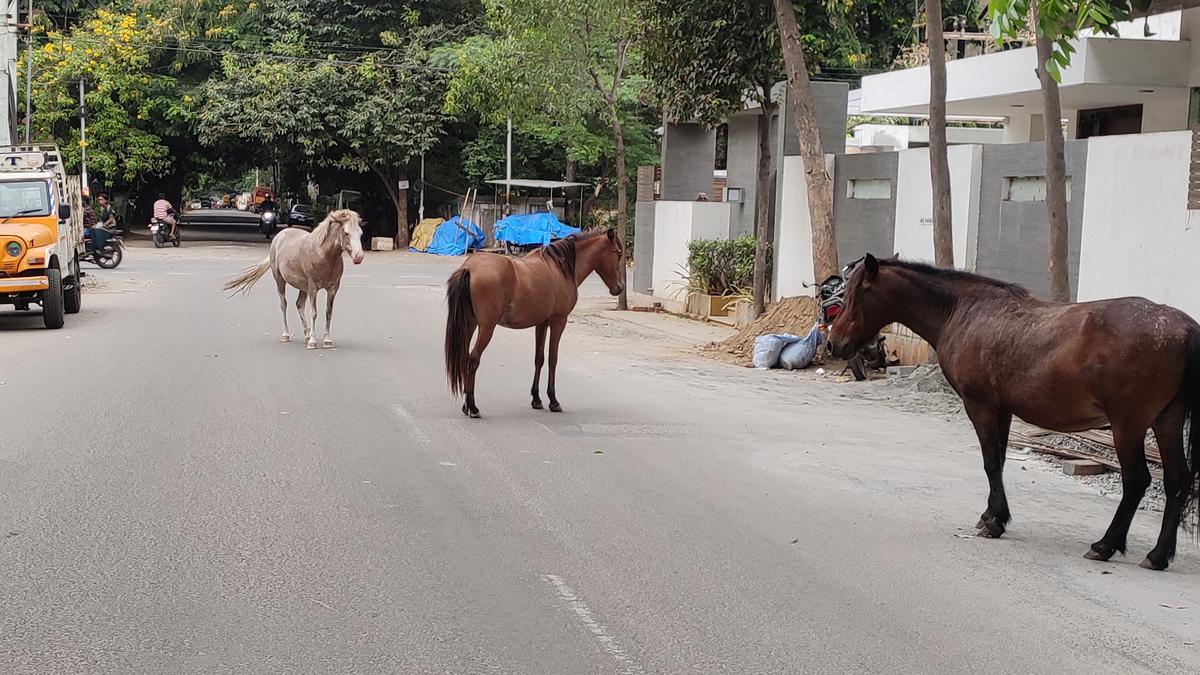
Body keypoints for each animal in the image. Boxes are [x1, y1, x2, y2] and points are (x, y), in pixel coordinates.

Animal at [225, 208, 362, 345]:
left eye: (360, 233)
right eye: (346, 233)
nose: (359, 256)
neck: (323, 254)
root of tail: (279, 236)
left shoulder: (333, 288)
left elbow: (328, 312)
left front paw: (327, 340)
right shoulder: (313, 287)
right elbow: (314, 312)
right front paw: (312, 341)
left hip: (303, 287)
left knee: (299, 305)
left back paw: (306, 335)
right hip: (280, 280)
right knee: (283, 304)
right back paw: (286, 334)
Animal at [444, 227, 628, 415]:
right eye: (618, 253)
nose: (620, 287)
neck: (561, 269)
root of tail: (470, 267)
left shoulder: (542, 323)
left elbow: (539, 358)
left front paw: (536, 399)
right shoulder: (558, 322)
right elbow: (553, 358)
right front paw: (553, 401)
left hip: (470, 324)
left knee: (465, 357)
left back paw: (466, 405)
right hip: (486, 327)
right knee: (473, 359)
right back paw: (472, 407)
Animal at [825, 254, 1200, 569]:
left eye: (855, 296)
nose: (833, 343)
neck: (962, 311)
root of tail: (1182, 326)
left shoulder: (980, 406)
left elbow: (991, 462)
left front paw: (993, 522)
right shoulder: (1002, 410)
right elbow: (1001, 461)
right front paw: (993, 515)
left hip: (1128, 426)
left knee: (1137, 480)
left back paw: (1105, 545)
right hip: (1166, 421)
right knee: (1177, 481)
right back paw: (1158, 554)